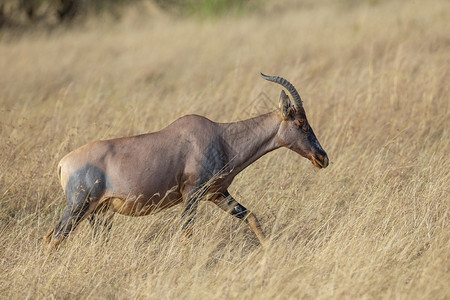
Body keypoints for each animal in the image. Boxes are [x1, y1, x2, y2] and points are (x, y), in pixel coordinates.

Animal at [44, 73, 328, 251]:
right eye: (300, 122)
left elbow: (251, 217)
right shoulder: (192, 194)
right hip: (78, 207)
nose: (322, 157)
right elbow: (185, 234)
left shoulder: (218, 194)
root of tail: (63, 163)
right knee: (53, 238)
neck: (220, 136)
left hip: (99, 213)